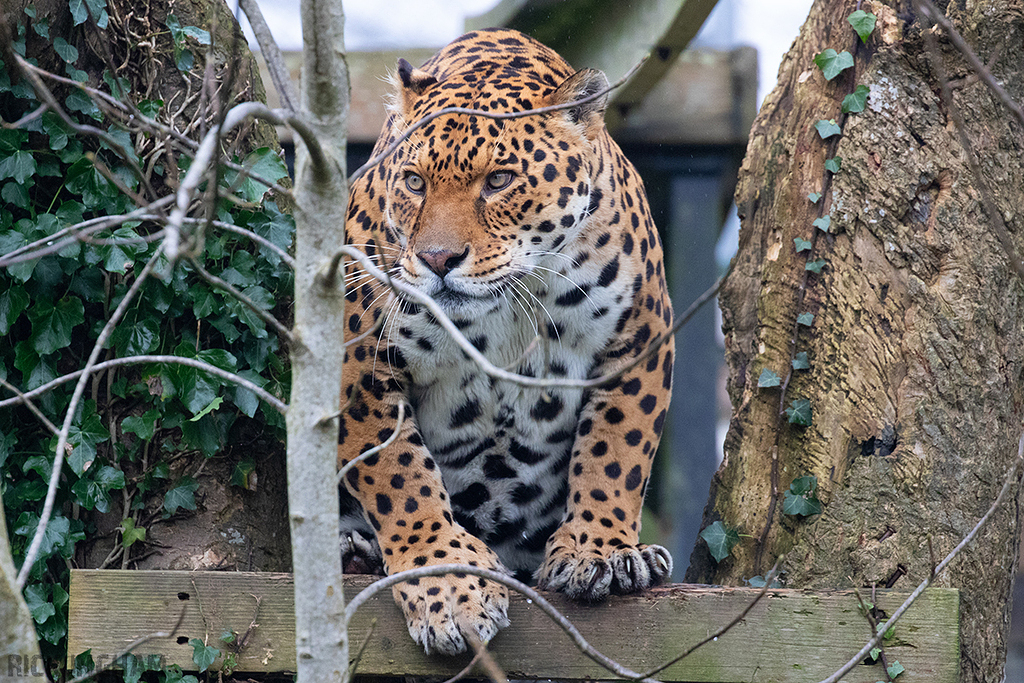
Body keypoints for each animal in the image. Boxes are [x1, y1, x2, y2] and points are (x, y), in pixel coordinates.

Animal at [337, 28, 675, 656]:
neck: (505, 306)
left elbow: (618, 450)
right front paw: (445, 581)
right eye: (415, 182)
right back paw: (357, 550)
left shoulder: (640, 339)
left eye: (498, 181)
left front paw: (599, 549)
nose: (437, 259)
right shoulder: (358, 366)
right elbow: (399, 476)